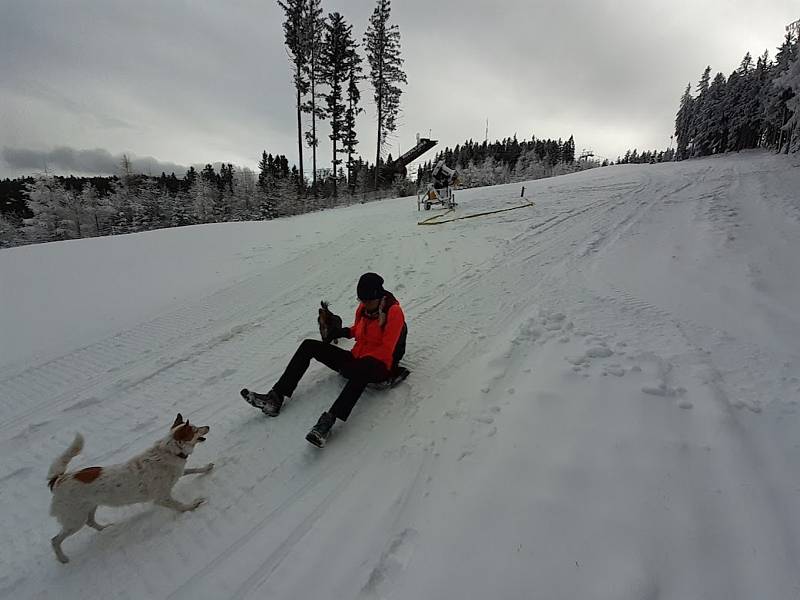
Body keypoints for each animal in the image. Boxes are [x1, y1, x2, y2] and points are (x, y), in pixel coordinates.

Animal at [47, 412, 212, 564]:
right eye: (196, 429)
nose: (208, 427)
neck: (169, 451)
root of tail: (58, 480)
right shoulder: (162, 498)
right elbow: (180, 505)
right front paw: (192, 505)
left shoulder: (178, 473)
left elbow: (193, 470)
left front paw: (206, 469)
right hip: (75, 519)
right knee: (55, 540)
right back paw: (63, 559)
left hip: (89, 507)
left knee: (91, 522)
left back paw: (105, 529)